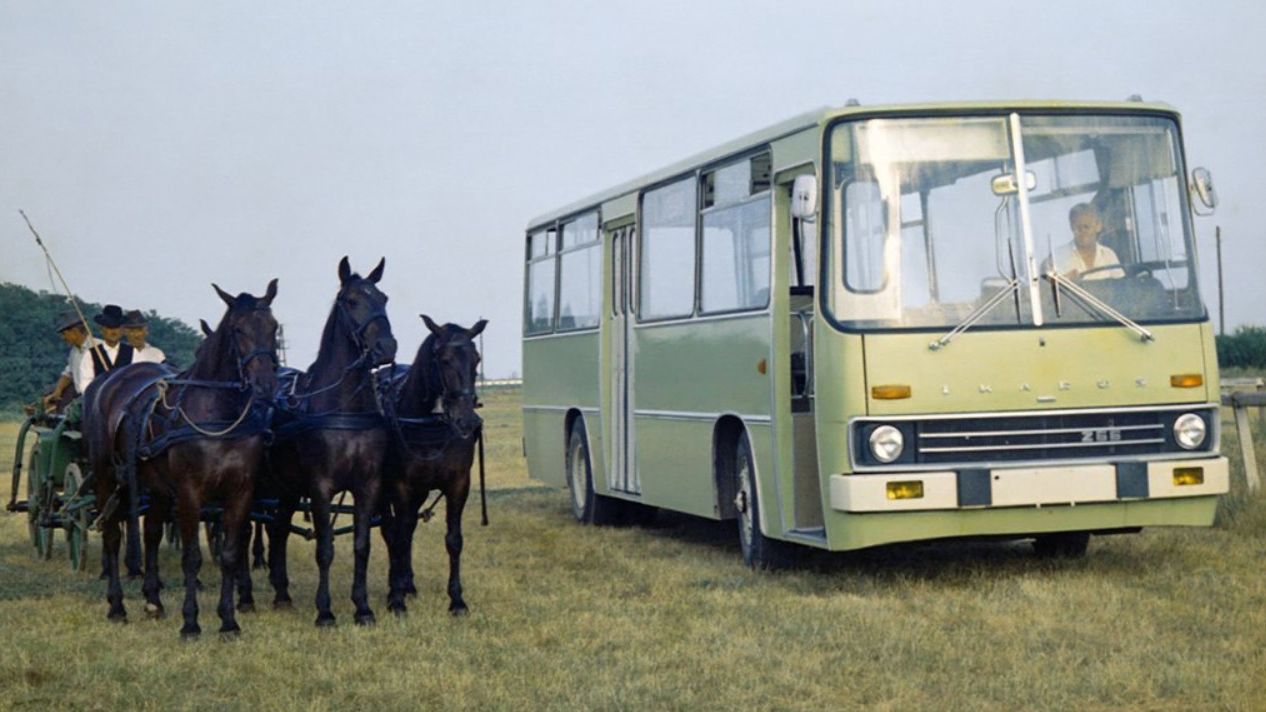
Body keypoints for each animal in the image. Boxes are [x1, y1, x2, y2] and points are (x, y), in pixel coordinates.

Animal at [85, 278, 281, 638]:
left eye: (273, 327)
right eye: (237, 329)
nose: (266, 386)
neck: (217, 414)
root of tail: (111, 381)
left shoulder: (241, 491)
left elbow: (230, 554)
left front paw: (228, 621)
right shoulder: (191, 492)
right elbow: (191, 558)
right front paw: (191, 622)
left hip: (158, 488)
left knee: (150, 533)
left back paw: (153, 601)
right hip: (106, 476)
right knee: (113, 536)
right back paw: (117, 606)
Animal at [269, 257, 397, 623]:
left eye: (383, 298)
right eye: (351, 301)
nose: (386, 348)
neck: (345, 410)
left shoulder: (368, 484)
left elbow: (361, 546)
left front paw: (363, 608)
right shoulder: (320, 485)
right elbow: (325, 548)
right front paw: (324, 611)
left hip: (286, 488)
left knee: (278, 528)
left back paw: (282, 594)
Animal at [377, 312, 486, 613]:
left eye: (476, 359)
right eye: (444, 359)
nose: (467, 421)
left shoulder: (458, 484)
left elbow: (454, 540)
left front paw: (457, 600)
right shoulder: (400, 486)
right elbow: (399, 537)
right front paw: (396, 600)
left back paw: (408, 583)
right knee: (392, 532)